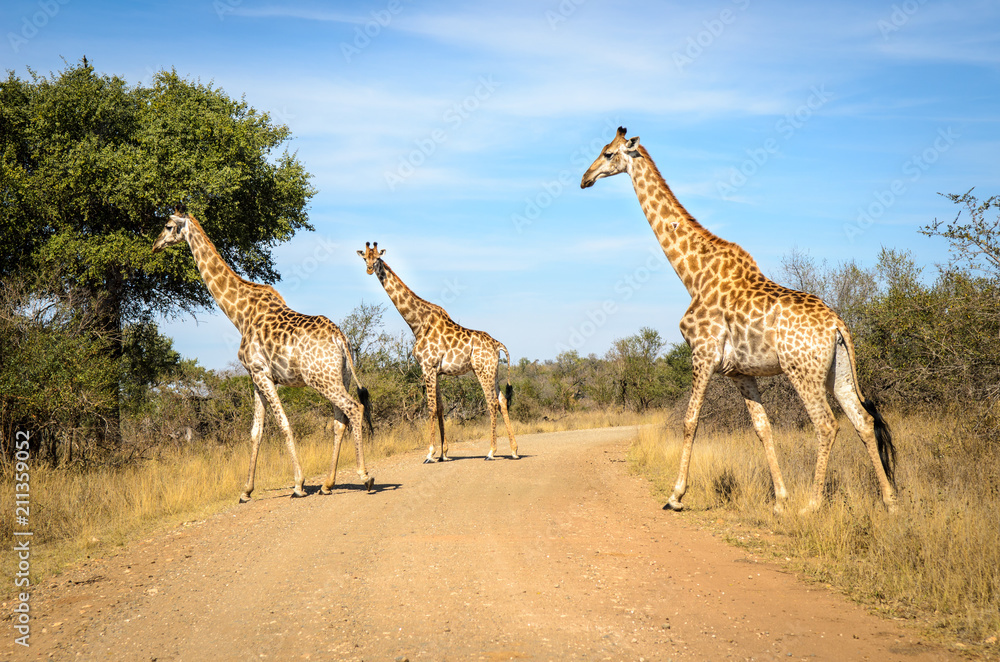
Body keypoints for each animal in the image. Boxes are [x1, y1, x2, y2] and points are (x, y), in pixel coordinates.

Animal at [152, 212, 375, 501]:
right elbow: (255, 432)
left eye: (168, 226)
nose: (155, 245)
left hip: (321, 380)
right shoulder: (257, 377)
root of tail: (341, 339)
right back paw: (327, 484)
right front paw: (246, 491)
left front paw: (298, 484)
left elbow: (283, 424)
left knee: (354, 409)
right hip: (340, 377)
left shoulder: (261, 373)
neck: (239, 314)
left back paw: (365, 476)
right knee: (340, 420)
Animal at [357, 242, 518, 463]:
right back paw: (514, 450)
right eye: (365, 257)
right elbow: (441, 407)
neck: (417, 323)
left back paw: (491, 452)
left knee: (491, 402)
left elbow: (431, 407)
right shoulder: (437, 371)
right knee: (502, 401)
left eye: (377, 258)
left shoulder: (427, 367)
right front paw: (444, 454)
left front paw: (430, 453)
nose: (369, 269)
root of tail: (498, 345)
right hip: (493, 371)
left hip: (482, 371)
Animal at [581, 128, 897, 514]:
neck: (693, 275)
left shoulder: (702, 353)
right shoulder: (740, 372)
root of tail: (838, 323)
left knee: (826, 424)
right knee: (863, 421)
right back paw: (890, 501)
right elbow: (762, 427)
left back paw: (812, 504)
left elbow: (690, 420)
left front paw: (676, 495)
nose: (585, 179)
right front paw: (779, 501)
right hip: (838, 371)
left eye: (608, 154)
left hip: (802, 370)